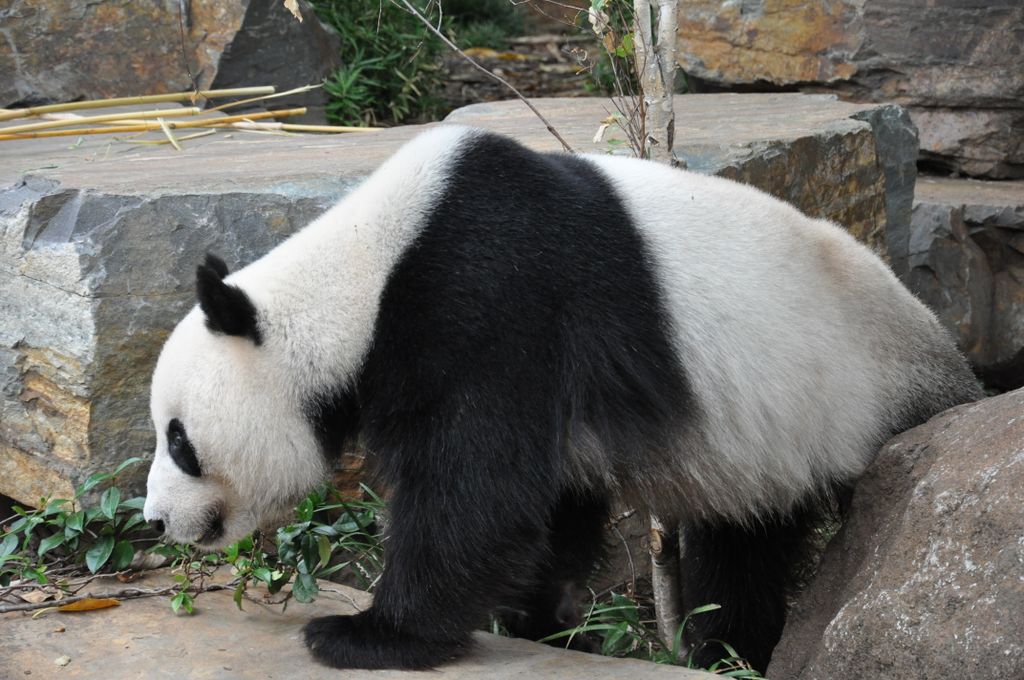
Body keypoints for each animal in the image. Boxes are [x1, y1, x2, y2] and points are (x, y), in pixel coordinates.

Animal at [142, 124, 980, 671]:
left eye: (179, 439)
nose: (154, 521)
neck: (362, 273)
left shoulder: (491, 295)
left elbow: (477, 490)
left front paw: (368, 635)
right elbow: (548, 508)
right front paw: (540, 623)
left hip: (864, 395)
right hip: (774, 449)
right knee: (745, 551)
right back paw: (728, 653)